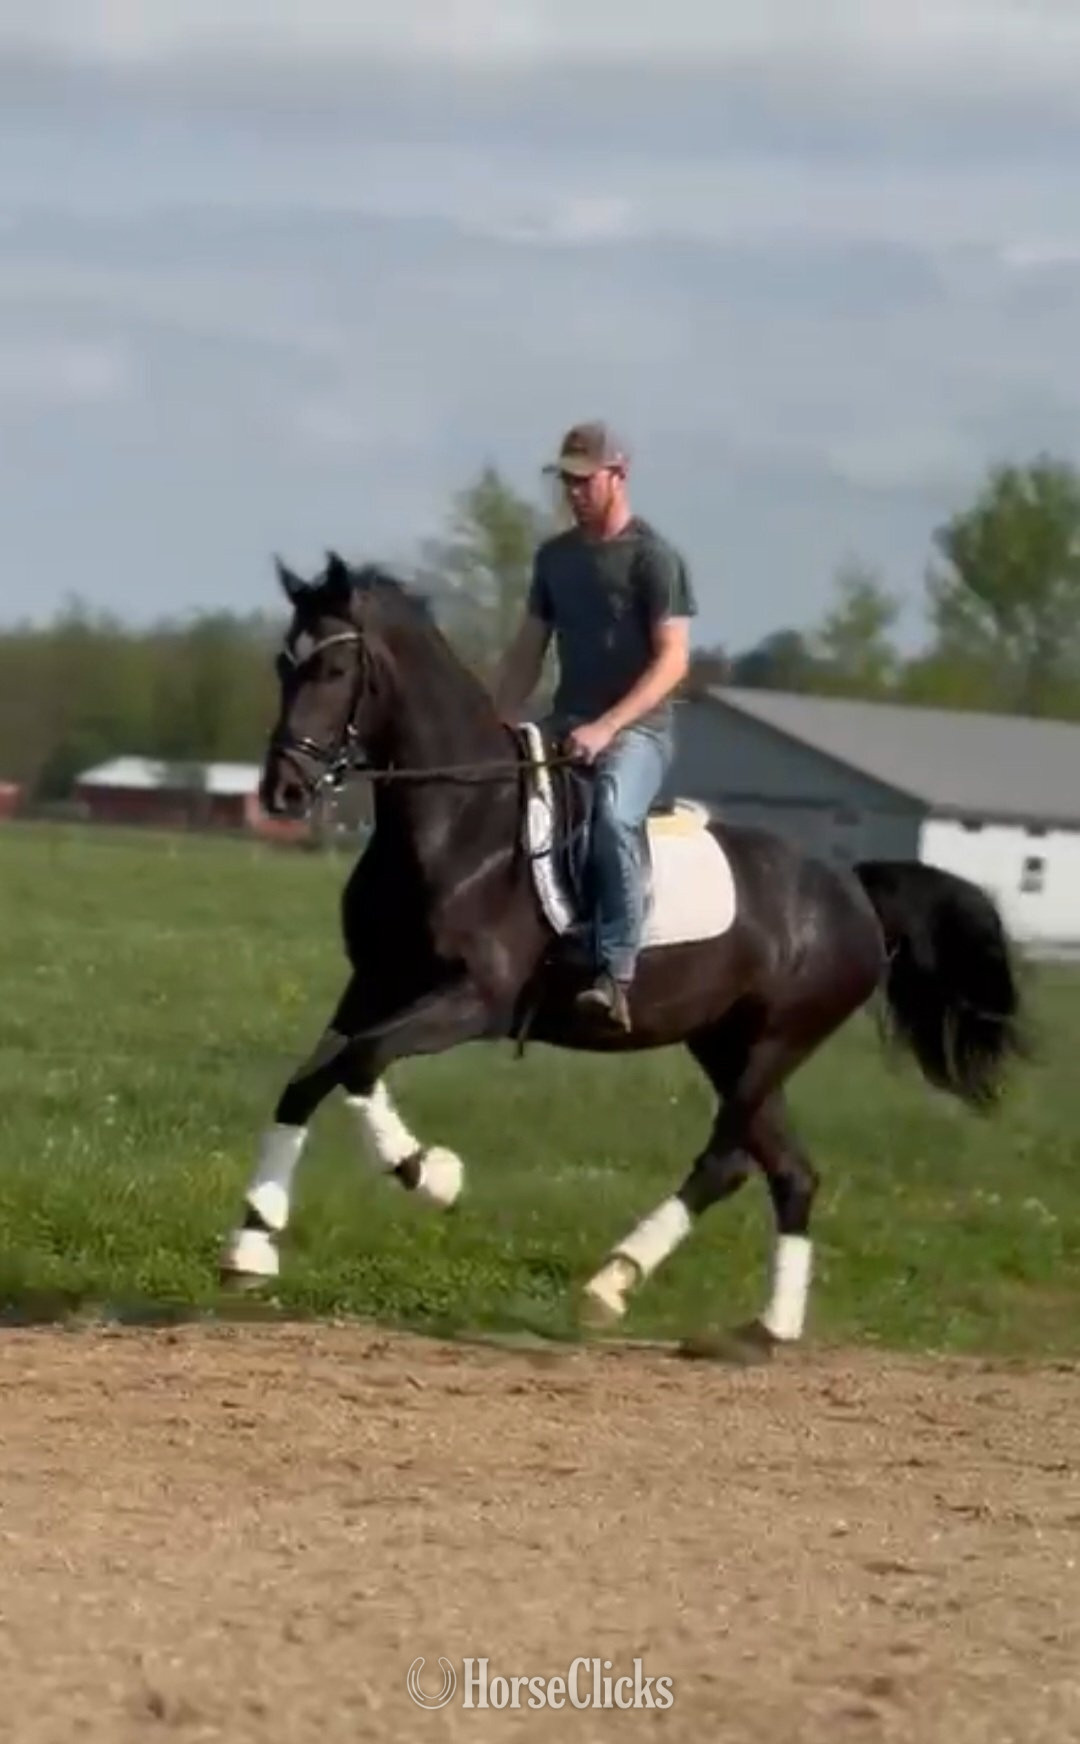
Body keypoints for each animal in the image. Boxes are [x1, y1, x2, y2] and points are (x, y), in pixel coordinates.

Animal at [219, 551, 1027, 1349]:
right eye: (282, 664)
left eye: (332, 670)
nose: (282, 791)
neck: (462, 823)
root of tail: (851, 888)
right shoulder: (373, 985)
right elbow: (308, 1081)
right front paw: (251, 1248)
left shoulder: (471, 1001)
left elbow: (360, 1063)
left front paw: (430, 1173)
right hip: (725, 1044)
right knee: (788, 1172)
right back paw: (763, 1329)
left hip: (773, 1044)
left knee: (727, 1159)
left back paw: (614, 1280)